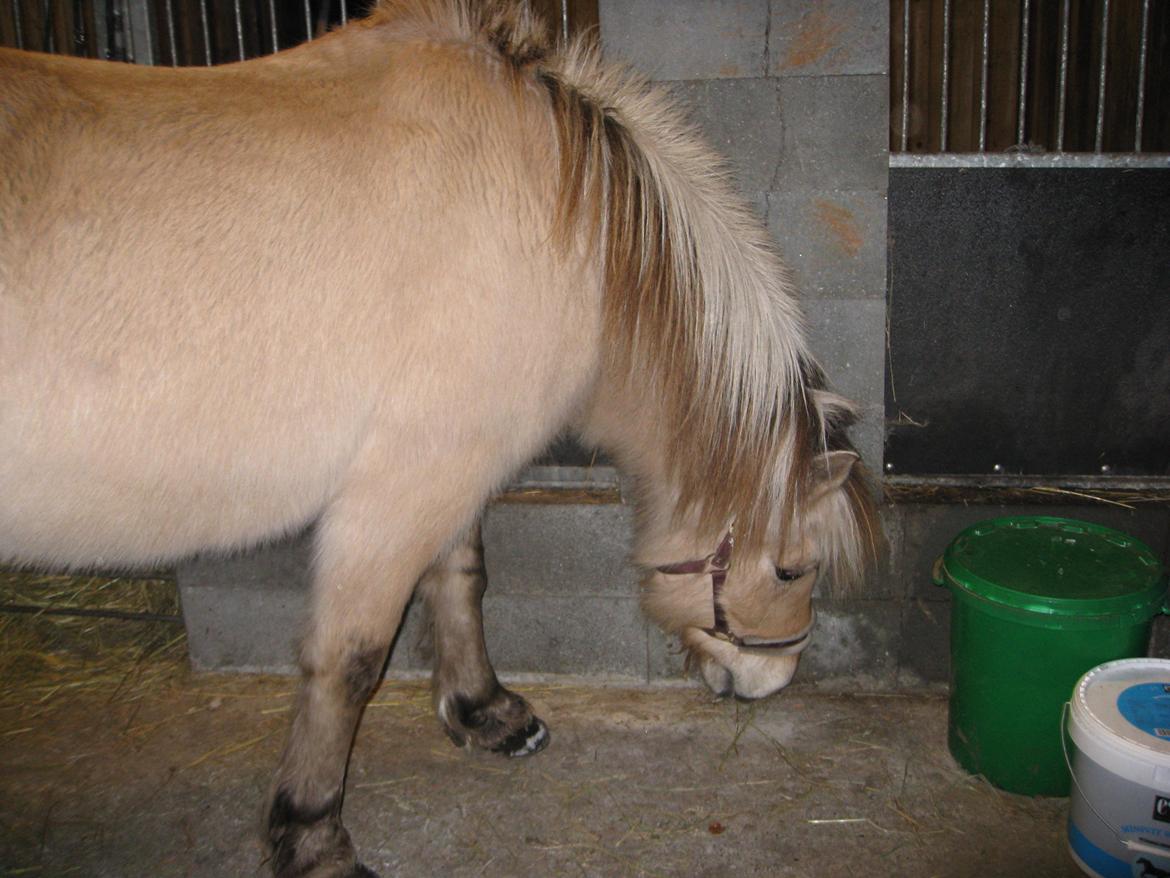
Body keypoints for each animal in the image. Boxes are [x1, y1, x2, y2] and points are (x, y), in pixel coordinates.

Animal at [0, 3, 879, 875]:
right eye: (793, 567)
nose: (771, 678)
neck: (568, 227)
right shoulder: (399, 489)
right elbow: (350, 660)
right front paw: (311, 834)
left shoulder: (453, 466)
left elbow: (459, 579)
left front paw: (486, 712)